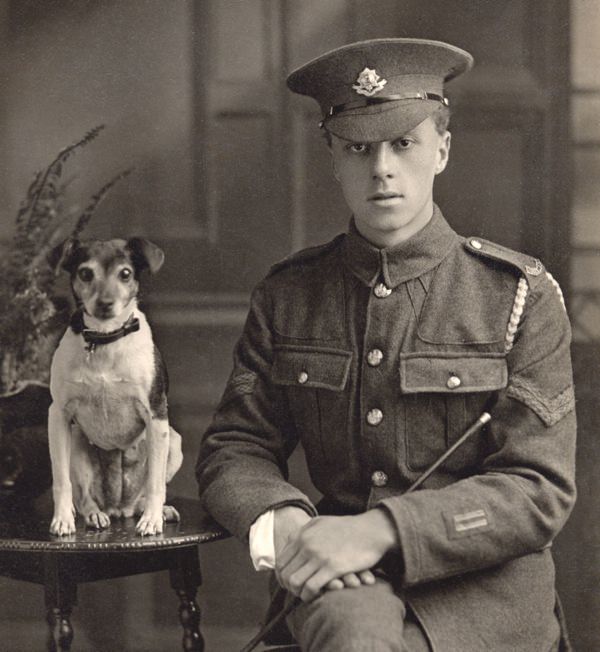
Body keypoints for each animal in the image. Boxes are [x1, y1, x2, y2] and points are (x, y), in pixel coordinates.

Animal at [48, 238, 183, 536]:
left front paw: (152, 520)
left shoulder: (156, 415)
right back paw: (94, 515)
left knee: (149, 490)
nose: (105, 304)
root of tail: (120, 507)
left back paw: (155, 511)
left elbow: (156, 484)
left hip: (173, 441)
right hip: (76, 444)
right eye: (85, 273)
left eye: (126, 274)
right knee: (83, 497)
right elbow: (61, 480)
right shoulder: (58, 415)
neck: (105, 337)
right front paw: (62, 519)